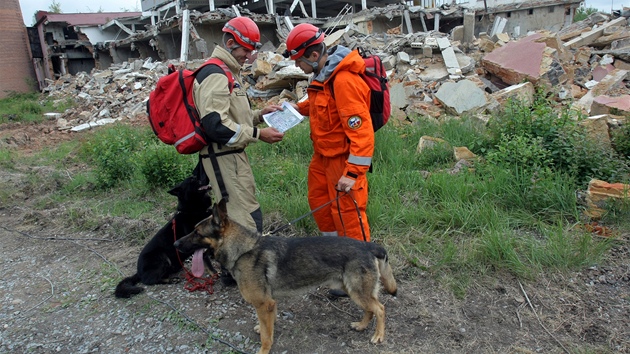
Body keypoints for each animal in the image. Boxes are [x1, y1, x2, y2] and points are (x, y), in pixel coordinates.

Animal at [175, 199, 398, 354]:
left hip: (357, 291)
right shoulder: (269, 303)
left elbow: (266, 337)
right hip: (353, 290)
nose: (175, 244)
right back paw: (361, 325)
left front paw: (263, 350)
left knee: (380, 308)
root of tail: (368, 245)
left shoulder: (264, 303)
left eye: (197, 233)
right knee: (371, 309)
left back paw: (378, 335)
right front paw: (263, 329)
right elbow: (268, 326)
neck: (243, 250)